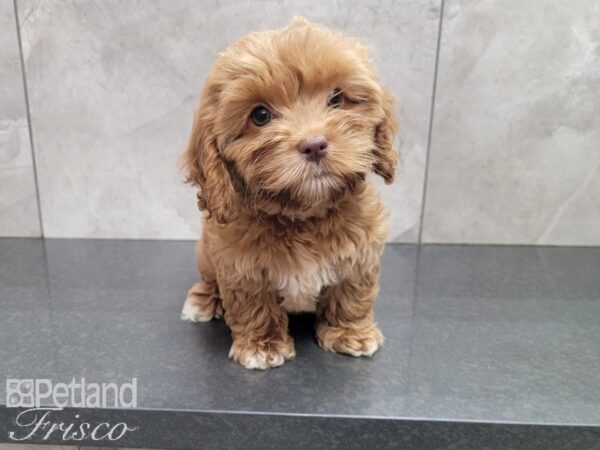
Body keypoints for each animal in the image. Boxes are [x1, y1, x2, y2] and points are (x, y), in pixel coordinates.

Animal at [180, 16, 400, 370]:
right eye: (260, 115)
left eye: (336, 99)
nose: (314, 144)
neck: (303, 216)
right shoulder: (239, 267)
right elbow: (254, 305)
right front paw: (262, 346)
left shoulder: (360, 255)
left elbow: (351, 295)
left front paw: (350, 333)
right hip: (206, 252)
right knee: (209, 279)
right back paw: (202, 301)